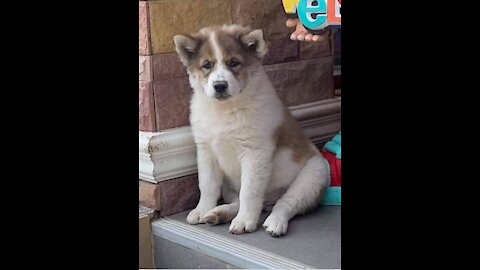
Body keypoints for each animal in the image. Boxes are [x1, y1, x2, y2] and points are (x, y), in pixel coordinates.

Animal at [173, 24, 330, 236]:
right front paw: (202, 209)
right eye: (207, 65)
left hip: (313, 176)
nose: (220, 86)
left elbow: (249, 191)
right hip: (229, 187)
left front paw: (245, 221)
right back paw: (218, 213)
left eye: (234, 63)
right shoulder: (205, 150)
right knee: (238, 200)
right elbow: (207, 185)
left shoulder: (254, 153)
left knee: (286, 203)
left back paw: (275, 222)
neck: (225, 110)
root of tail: (269, 201)